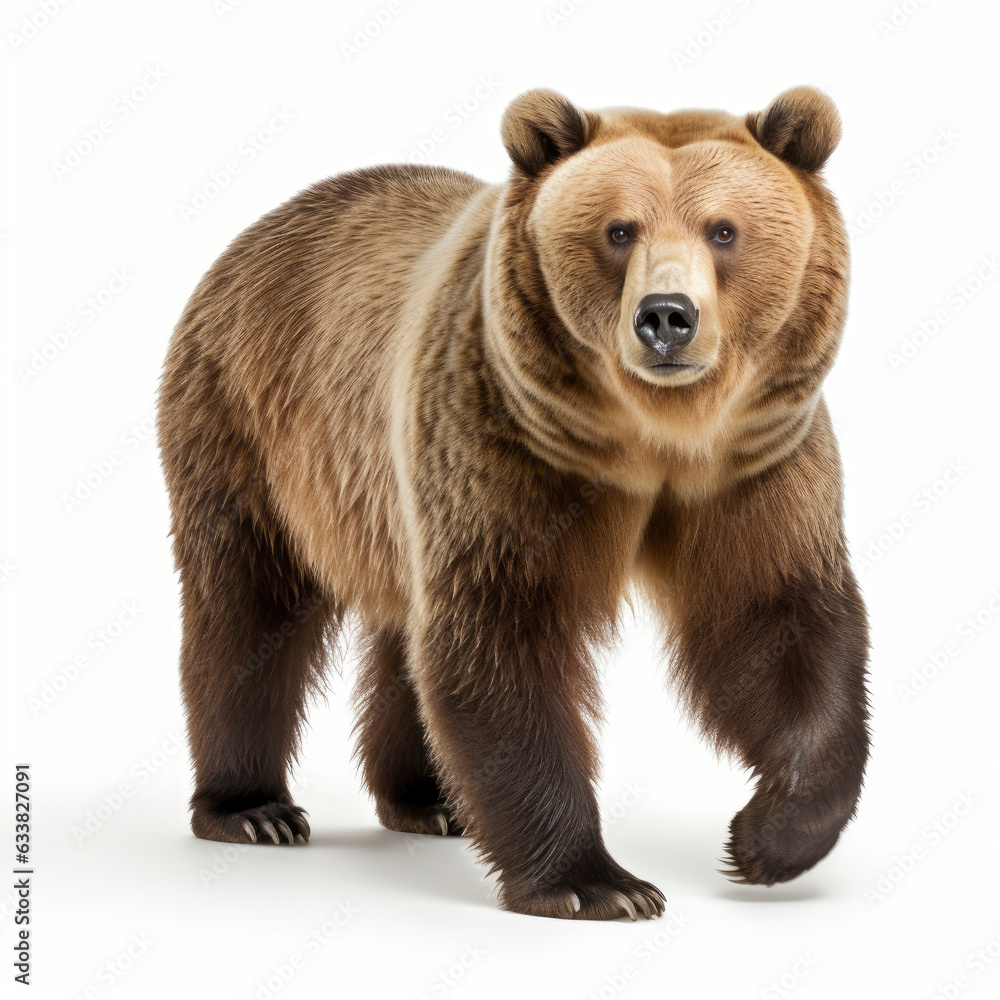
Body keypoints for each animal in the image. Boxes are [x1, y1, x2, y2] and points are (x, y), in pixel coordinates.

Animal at [156, 86, 870, 921]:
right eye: (618, 230)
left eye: (723, 230)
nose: (667, 316)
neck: (653, 434)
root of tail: (257, 229)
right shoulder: (506, 441)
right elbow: (502, 636)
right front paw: (600, 883)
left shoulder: (754, 462)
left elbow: (776, 621)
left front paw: (765, 838)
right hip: (247, 425)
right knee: (246, 610)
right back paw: (252, 808)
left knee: (404, 632)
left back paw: (427, 798)